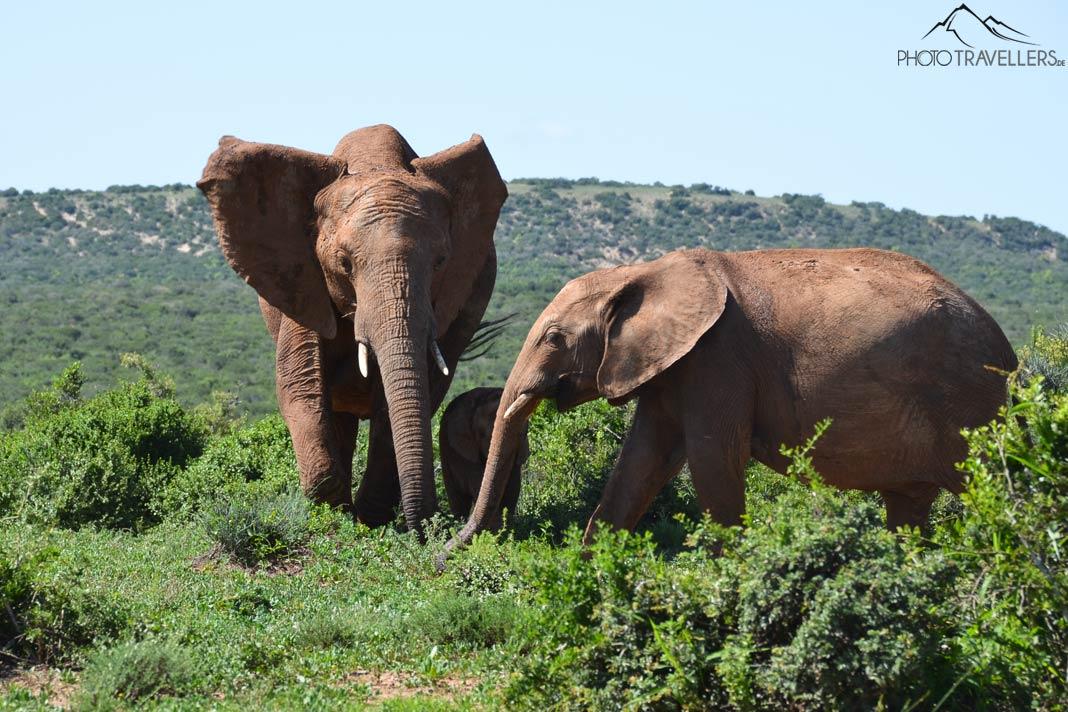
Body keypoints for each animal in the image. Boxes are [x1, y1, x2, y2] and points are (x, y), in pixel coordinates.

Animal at [197, 125, 508, 534]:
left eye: (440, 262)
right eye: (344, 263)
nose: (429, 526)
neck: (375, 161)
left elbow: (408, 395)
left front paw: (369, 520)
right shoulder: (301, 278)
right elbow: (299, 384)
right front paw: (337, 516)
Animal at [439, 387, 529, 523]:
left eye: (521, 435)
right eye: (483, 435)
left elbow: (513, 487)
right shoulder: (465, 451)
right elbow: (478, 483)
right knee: (457, 499)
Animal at [451, 247, 1017, 549]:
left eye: (552, 338)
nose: (445, 554)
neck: (640, 271)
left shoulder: (718, 360)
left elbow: (713, 463)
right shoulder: (672, 368)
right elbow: (640, 465)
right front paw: (594, 588)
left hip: (970, 402)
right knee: (908, 509)